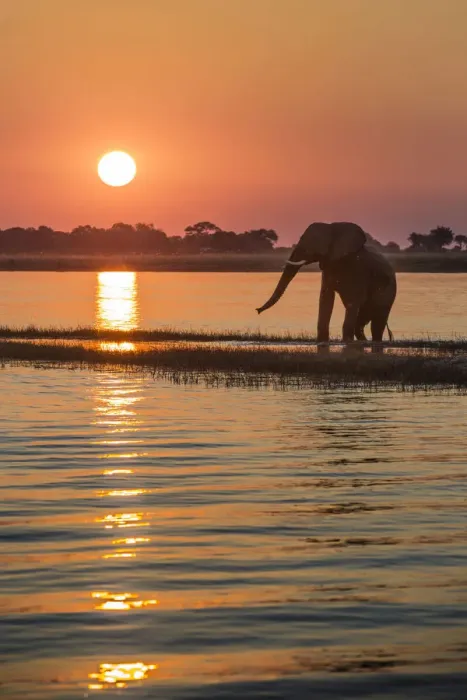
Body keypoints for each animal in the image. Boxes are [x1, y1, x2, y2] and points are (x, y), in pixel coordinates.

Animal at [256, 222, 397, 343]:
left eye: (309, 242)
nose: (257, 310)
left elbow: (353, 301)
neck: (333, 228)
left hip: (389, 292)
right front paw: (323, 342)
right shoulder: (328, 265)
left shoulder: (359, 268)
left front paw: (346, 342)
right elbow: (326, 298)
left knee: (377, 323)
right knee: (361, 322)